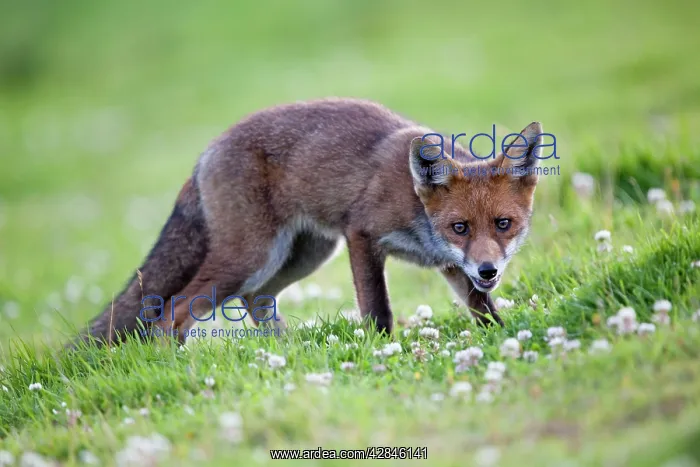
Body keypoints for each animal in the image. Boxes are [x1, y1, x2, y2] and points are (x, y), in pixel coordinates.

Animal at [79, 98, 544, 346]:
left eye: (503, 224)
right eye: (459, 228)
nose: (489, 269)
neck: (418, 209)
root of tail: (206, 152)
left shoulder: (450, 265)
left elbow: (484, 310)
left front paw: (503, 337)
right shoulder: (362, 234)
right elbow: (377, 309)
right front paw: (382, 351)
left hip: (304, 255)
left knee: (256, 299)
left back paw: (284, 354)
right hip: (251, 257)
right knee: (171, 313)